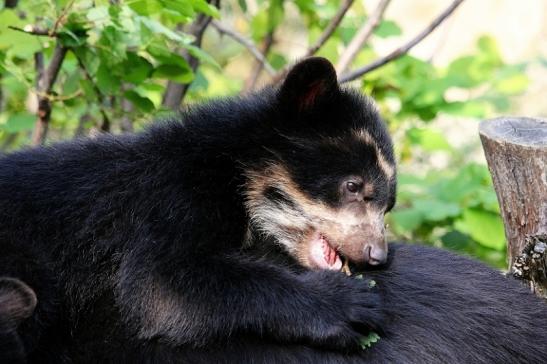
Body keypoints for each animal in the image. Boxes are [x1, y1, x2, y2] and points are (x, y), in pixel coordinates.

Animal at [0, 57, 544, 364]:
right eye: (354, 187)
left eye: (388, 203)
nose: (376, 256)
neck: (233, 175)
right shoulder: (165, 197)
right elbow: (165, 284)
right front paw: (350, 305)